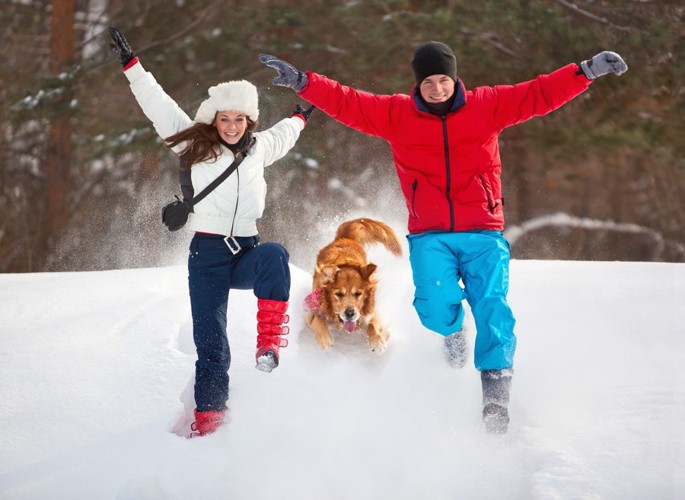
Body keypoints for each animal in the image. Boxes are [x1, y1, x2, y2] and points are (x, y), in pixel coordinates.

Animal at [304, 218, 400, 352]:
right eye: (339, 294)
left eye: (358, 294)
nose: (350, 313)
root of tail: (344, 238)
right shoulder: (313, 308)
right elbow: (318, 319)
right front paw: (325, 340)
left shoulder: (369, 311)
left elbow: (372, 323)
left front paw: (377, 341)